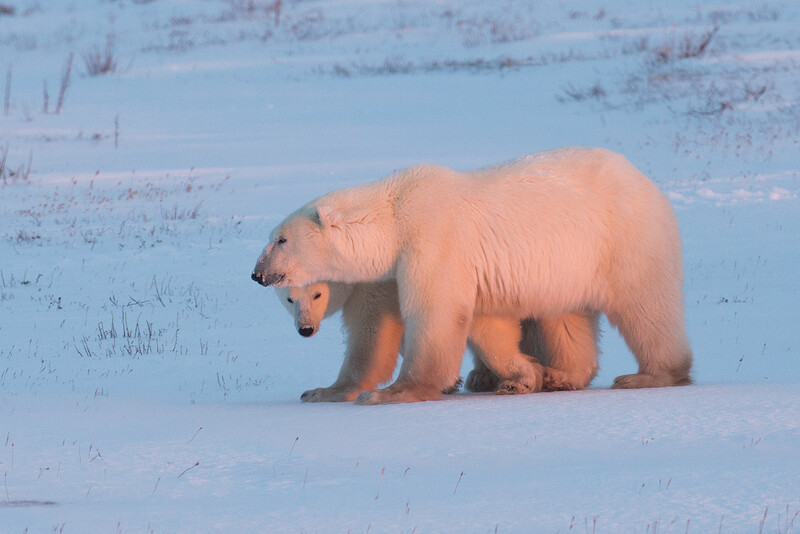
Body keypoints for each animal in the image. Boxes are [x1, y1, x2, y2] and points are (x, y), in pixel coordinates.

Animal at [273, 281, 602, 401]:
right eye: (289, 299)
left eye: (317, 294)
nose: (305, 329)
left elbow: (372, 340)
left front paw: (320, 392)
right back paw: (483, 376)